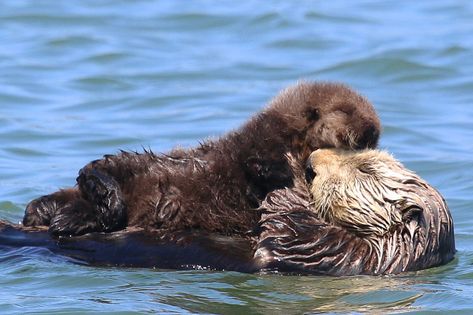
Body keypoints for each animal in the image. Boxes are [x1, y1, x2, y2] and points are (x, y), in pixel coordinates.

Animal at [23, 81, 384, 237]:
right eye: (346, 112)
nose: (371, 131)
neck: (293, 139)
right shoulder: (260, 141)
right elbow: (255, 162)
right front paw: (276, 170)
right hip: (130, 166)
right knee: (95, 172)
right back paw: (83, 209)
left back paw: (52, 214)